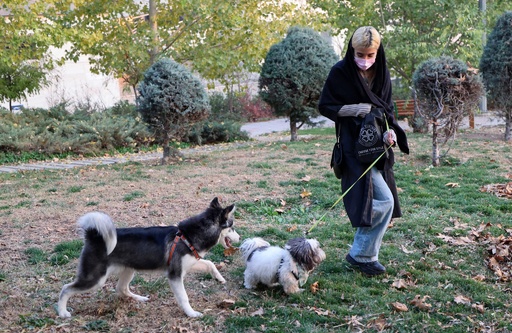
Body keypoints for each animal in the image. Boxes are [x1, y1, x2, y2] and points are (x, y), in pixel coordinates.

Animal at [57, 197, 238, 316]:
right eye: (232, 227)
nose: (240, 237)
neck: (187, 236)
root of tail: (93, 236)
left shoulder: (189, 264)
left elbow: (210, 264)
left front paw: (219, 278)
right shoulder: (175, 274)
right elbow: (184, 297)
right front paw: (192, 313)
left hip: (128, 270)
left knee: (121, 288)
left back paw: (139, 298)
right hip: (95, 279)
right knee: (66, 288)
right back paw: (63, 312)